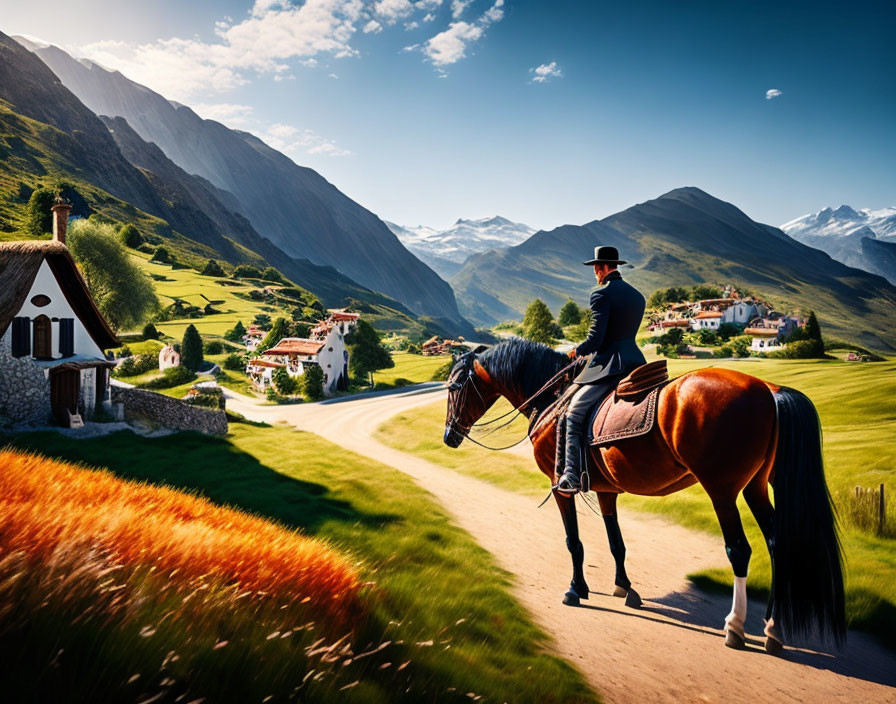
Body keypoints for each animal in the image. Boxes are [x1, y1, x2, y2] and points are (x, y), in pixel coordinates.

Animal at [444, 338, 844, 652]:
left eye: (453, 388)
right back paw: (773, 628)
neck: (553, 398)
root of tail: (768, 389)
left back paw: (735, 626)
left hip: (722, 489)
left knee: (739, 551)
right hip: (756, 486)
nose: (449, 436)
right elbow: (616, 542)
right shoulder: (606, 491)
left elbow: (574, 542)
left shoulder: (560, 487)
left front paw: (576, 589)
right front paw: (624, 588)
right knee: (777, 544)